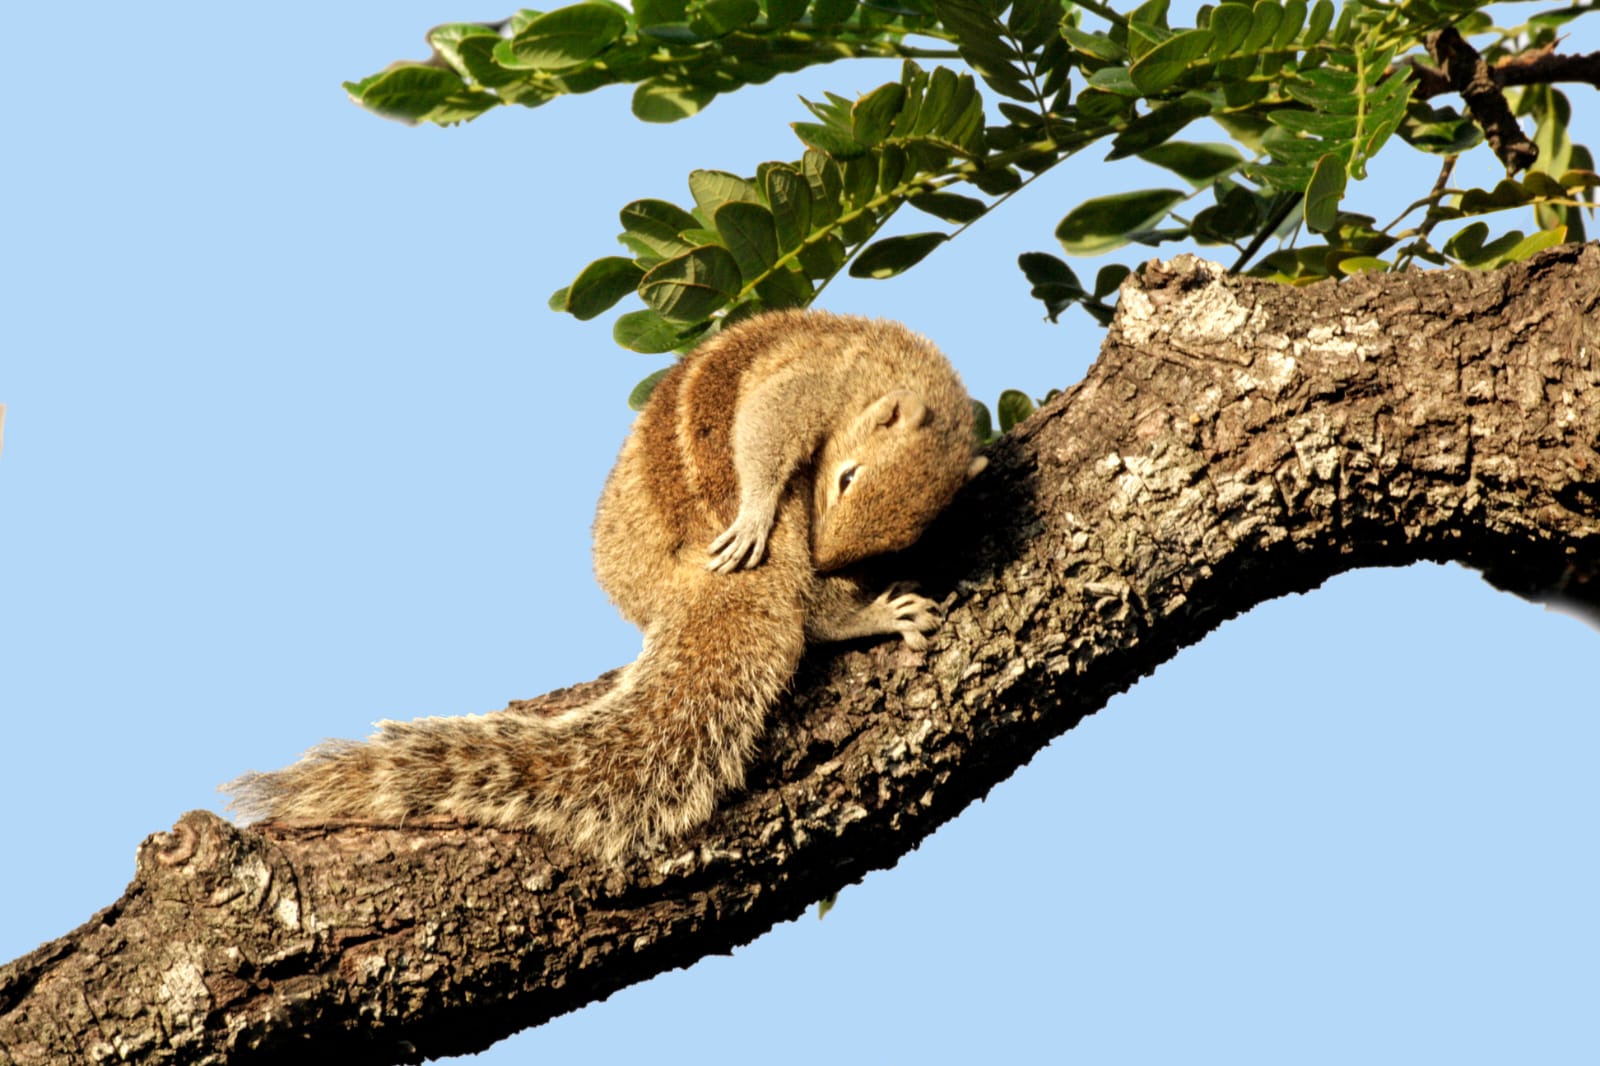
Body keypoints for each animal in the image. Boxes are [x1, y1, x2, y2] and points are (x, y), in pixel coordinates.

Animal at [225, 309, 986, 863]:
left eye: (902, 532)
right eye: (846, 478)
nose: (831, 558)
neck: (884, 363)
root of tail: (694, 584)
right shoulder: (812, 383)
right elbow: (770, 430)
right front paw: (757, 509)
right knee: (810, 610)